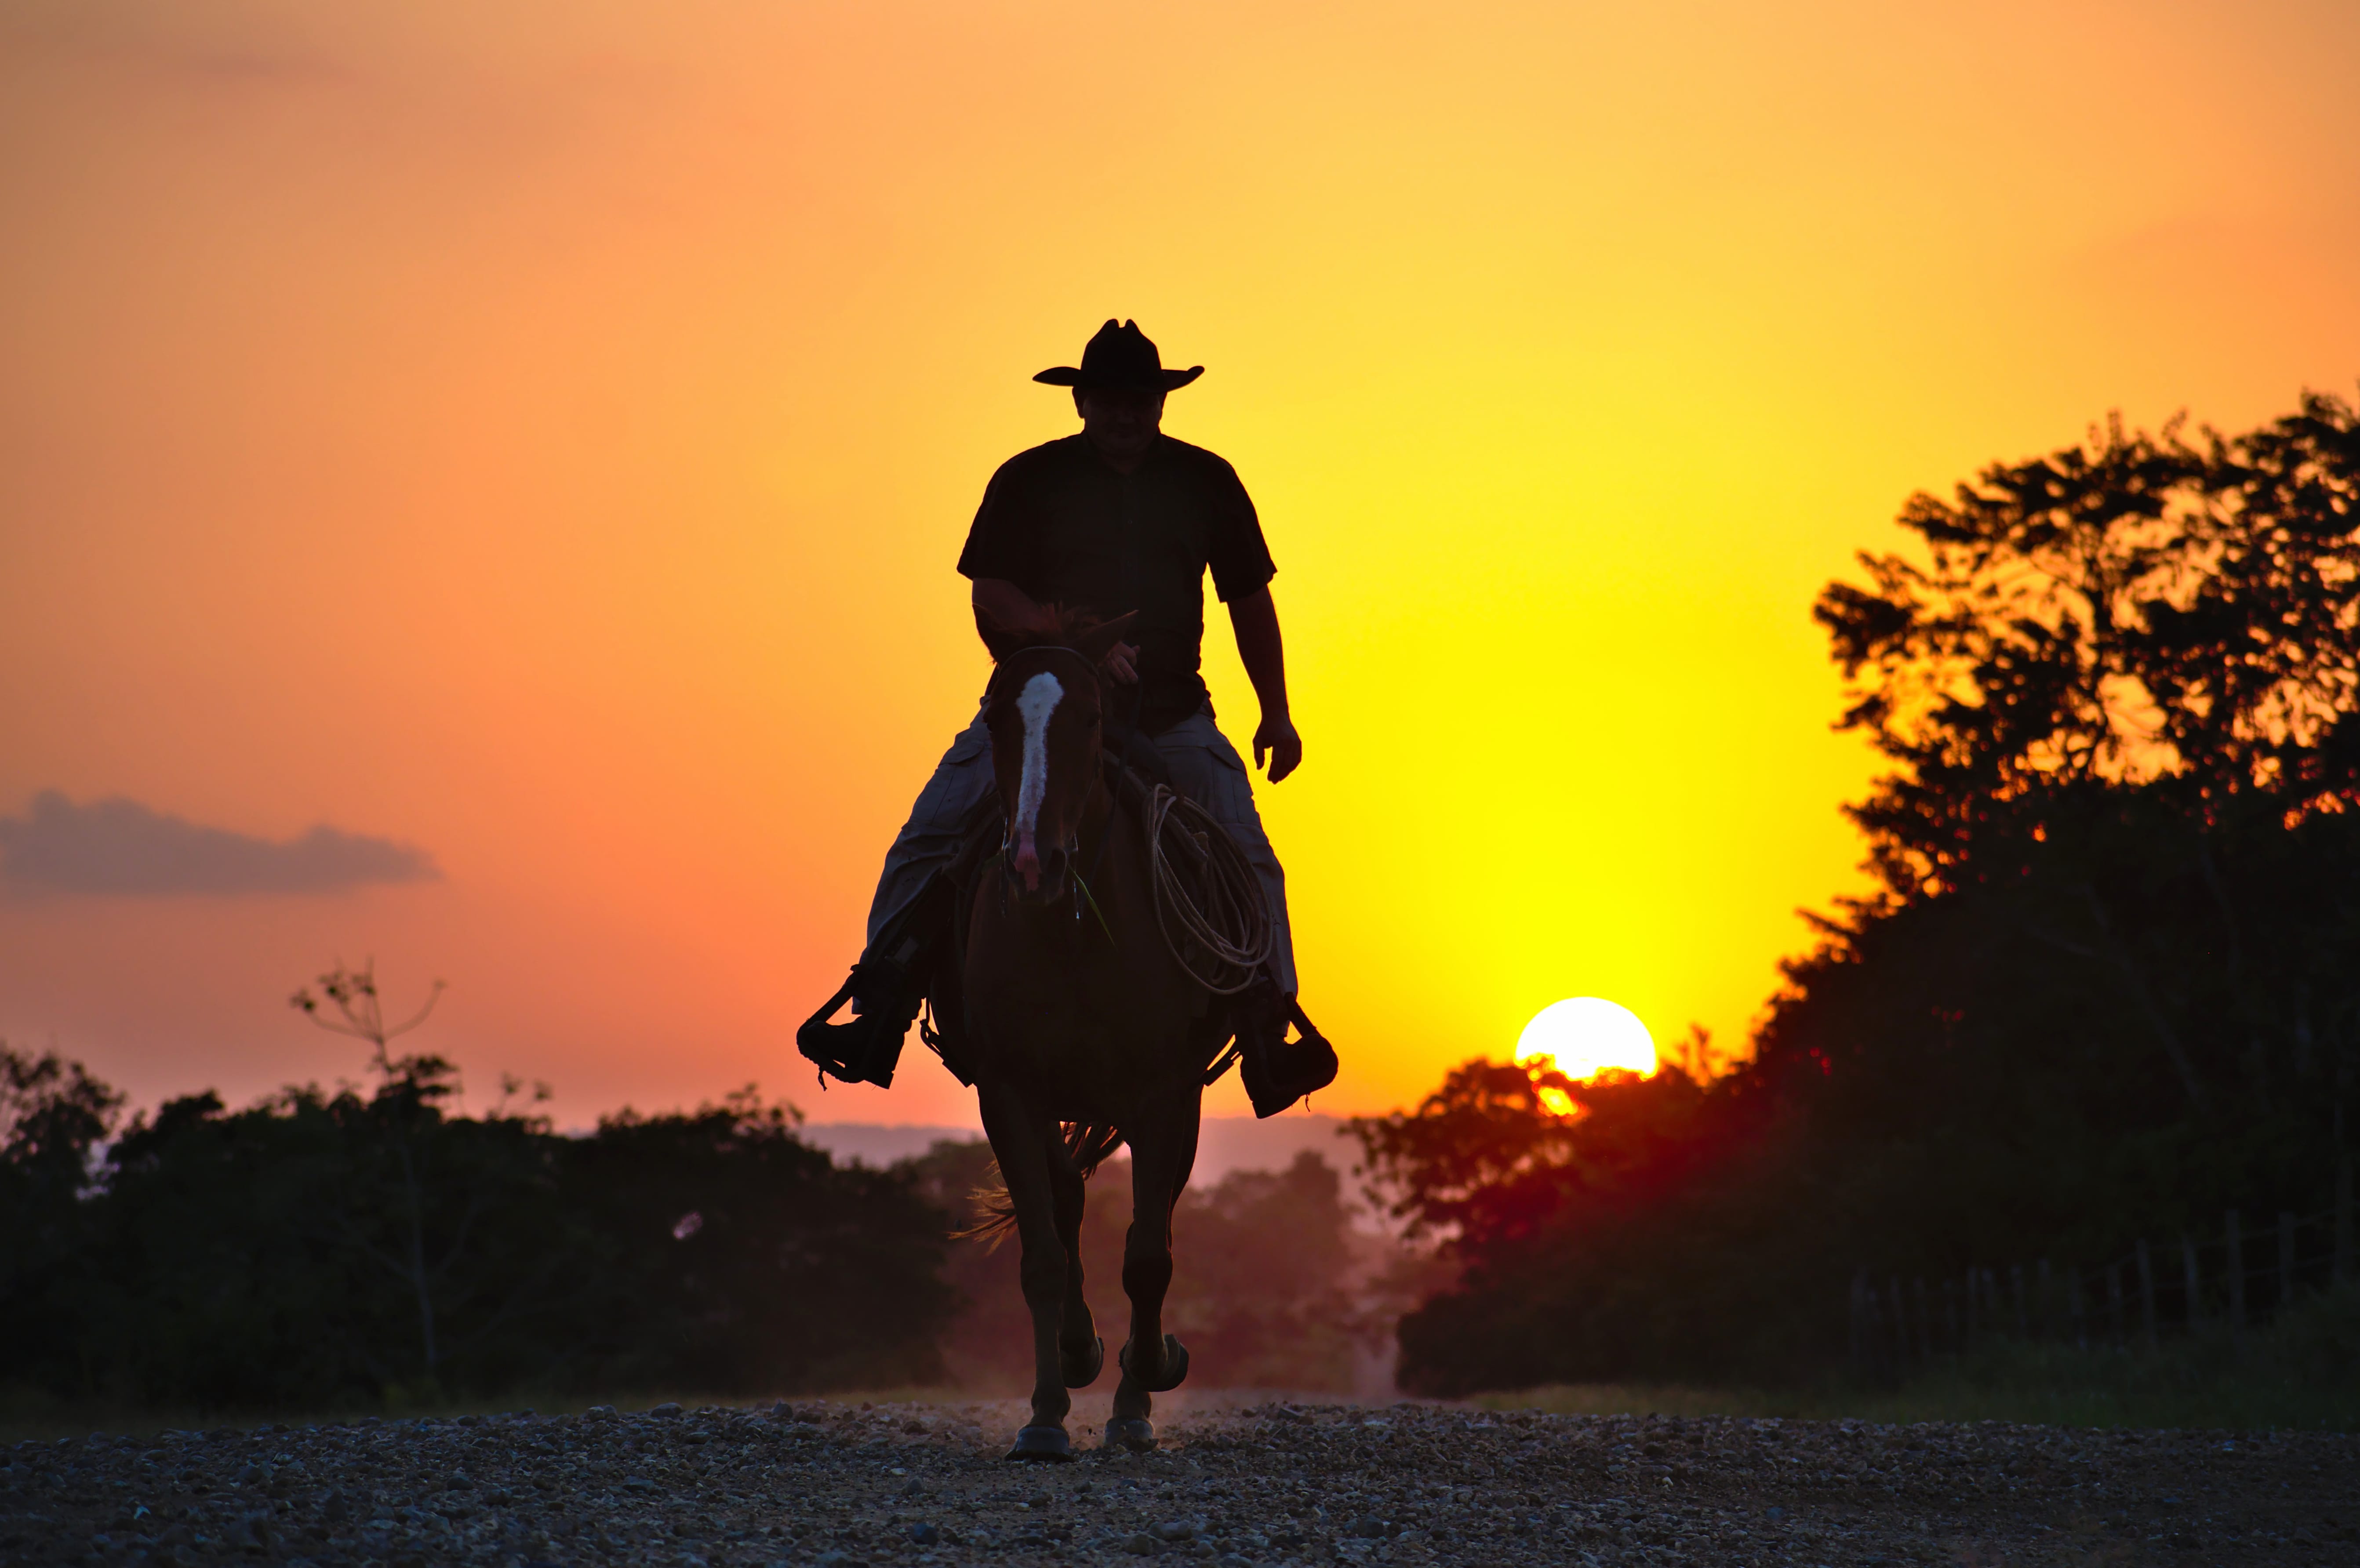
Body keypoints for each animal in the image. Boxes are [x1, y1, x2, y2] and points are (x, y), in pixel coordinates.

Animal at [953, 603, 1227, 1462]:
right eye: (996, 718)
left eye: (1092, 717)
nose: (1032, 863)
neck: (1068, 930)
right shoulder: (1008, 1092)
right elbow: (1043, 1254)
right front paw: (1046, 1414)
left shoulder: (1164, 1095)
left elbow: (1147, 1256)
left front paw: (1143, 1388)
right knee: (1071, 1203)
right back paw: (1079, 1354)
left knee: (1156, 1221)